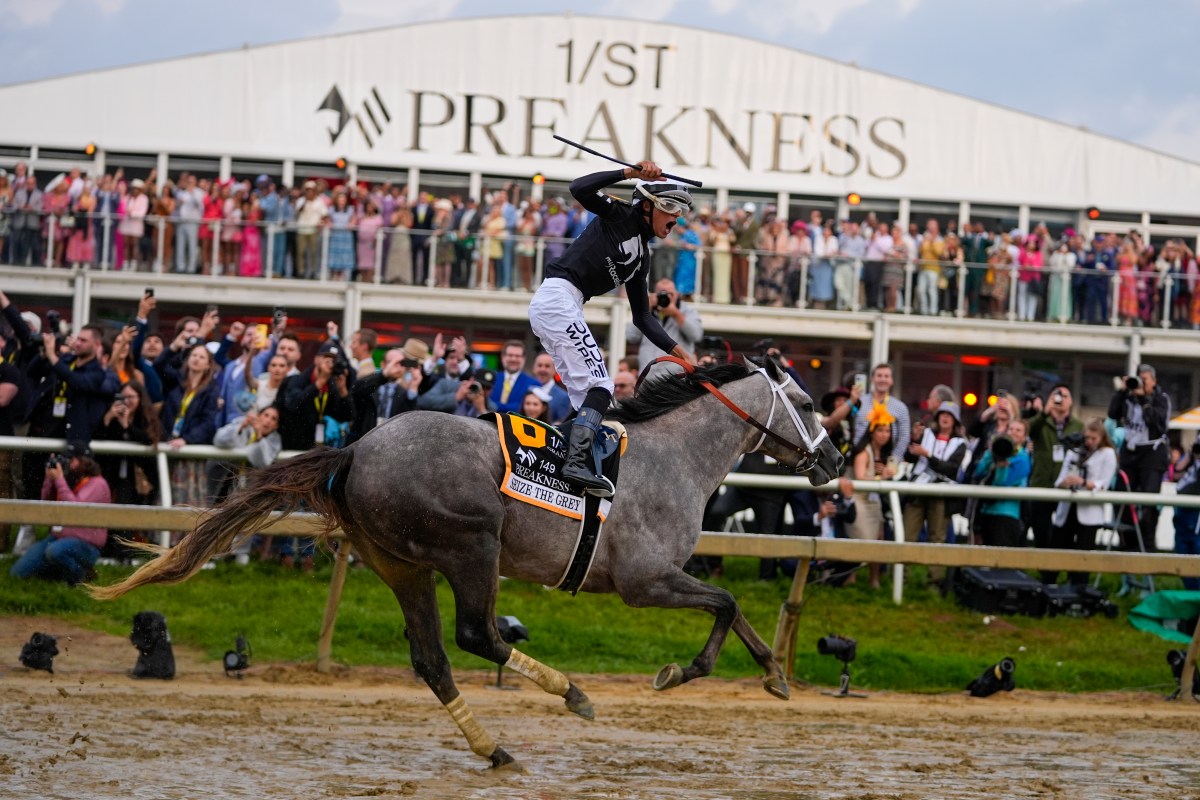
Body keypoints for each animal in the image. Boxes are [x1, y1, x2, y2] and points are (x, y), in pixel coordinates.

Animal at [91, 357, 844, 767]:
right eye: (809, 403)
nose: (835, 460)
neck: (673, 457)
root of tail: (356, 449)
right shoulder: (643, 580)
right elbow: (726, 603)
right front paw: (682, 672)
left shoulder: (658, 579)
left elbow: (733, 608)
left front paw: (774, 674)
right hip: (470, 546)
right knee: (477, 634)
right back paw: (570, 693)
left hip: (401, 564)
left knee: (432, 658)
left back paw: (493, 749)